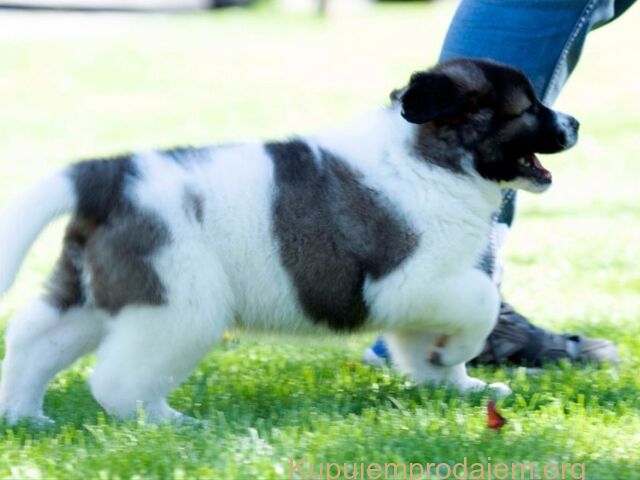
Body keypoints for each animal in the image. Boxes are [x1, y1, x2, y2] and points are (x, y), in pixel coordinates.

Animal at [0, 59, 579, 425]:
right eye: (529, 108)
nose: (575, 122)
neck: (434, 158)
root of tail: (110, 175)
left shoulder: (424, 292)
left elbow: (423, 345)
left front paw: (455, 384)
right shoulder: (409, 280)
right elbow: (481, 302)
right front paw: (457, 355)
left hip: (92, 292)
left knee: (34, 339)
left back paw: (25, 416)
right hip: (176, 308)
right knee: (117, 381)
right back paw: (167, 422)